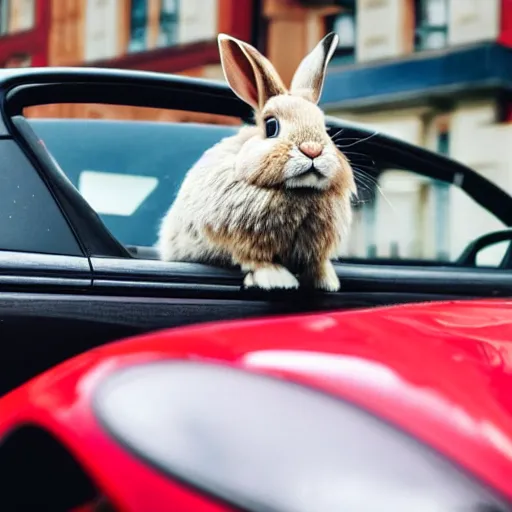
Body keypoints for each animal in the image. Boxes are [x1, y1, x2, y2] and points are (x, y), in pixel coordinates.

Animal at [157, 31, 356, 292]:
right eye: (271, 127)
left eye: (326, 129)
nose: (312, 150)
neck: (300, 191)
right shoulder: (243, 240)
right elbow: (257, 260)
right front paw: (278, 281)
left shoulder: (314, 250)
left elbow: (318, 263)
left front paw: (327, 282)